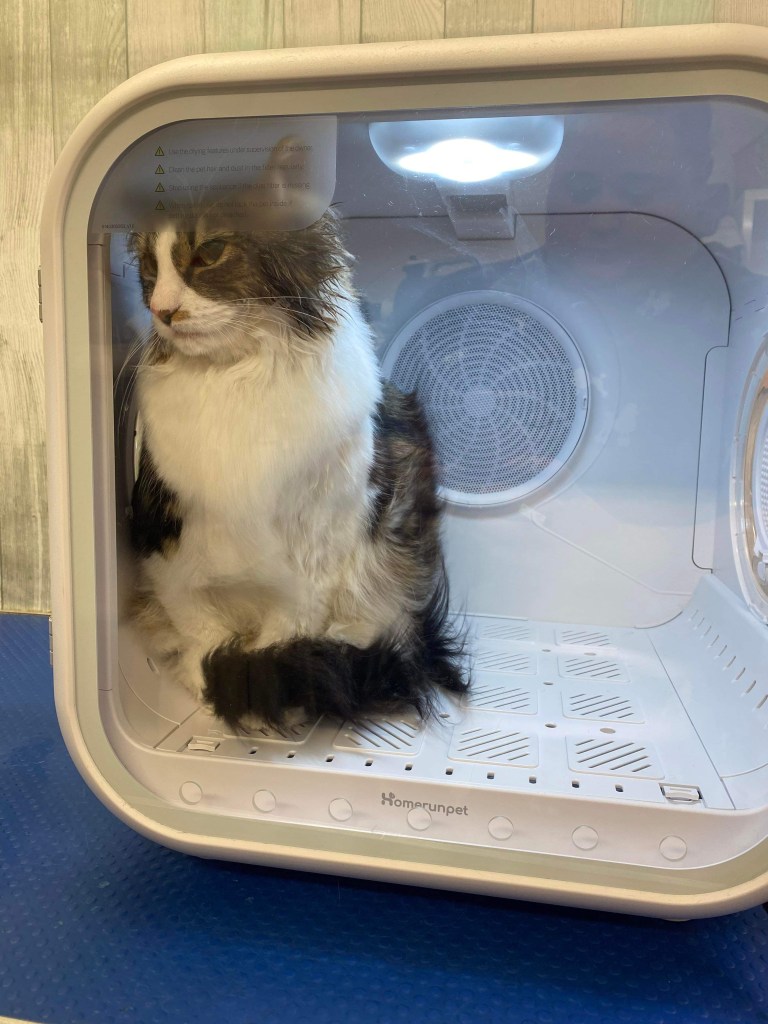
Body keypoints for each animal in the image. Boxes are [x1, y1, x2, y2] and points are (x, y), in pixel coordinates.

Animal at [126, 150, 467, 731]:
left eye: (210, 252)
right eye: (150, 267)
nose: (162, 310)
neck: (236, 380)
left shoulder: (314, 558)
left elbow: (278, 636)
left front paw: (256, 680)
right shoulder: (169, 545)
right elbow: (201, 630)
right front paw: (210, 683)